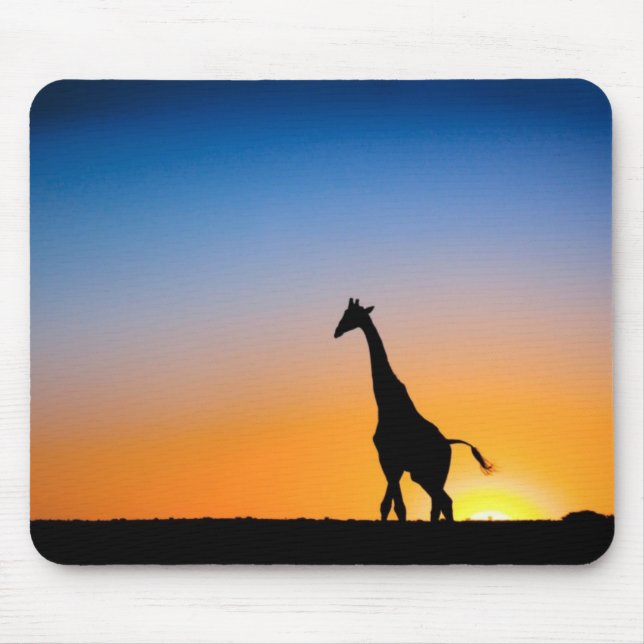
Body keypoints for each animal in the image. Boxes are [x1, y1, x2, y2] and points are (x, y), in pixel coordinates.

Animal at [334, 298, 493, 522]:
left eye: (351, 315)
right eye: (344, 313)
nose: (337, 331)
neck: (386, 403)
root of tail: (448, 443)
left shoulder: (389, 459)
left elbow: (396, 506)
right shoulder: (393, 463)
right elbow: (388, 505)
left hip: (428, 474)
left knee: (443, 502)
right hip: (428, 475)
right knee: (441, 503)